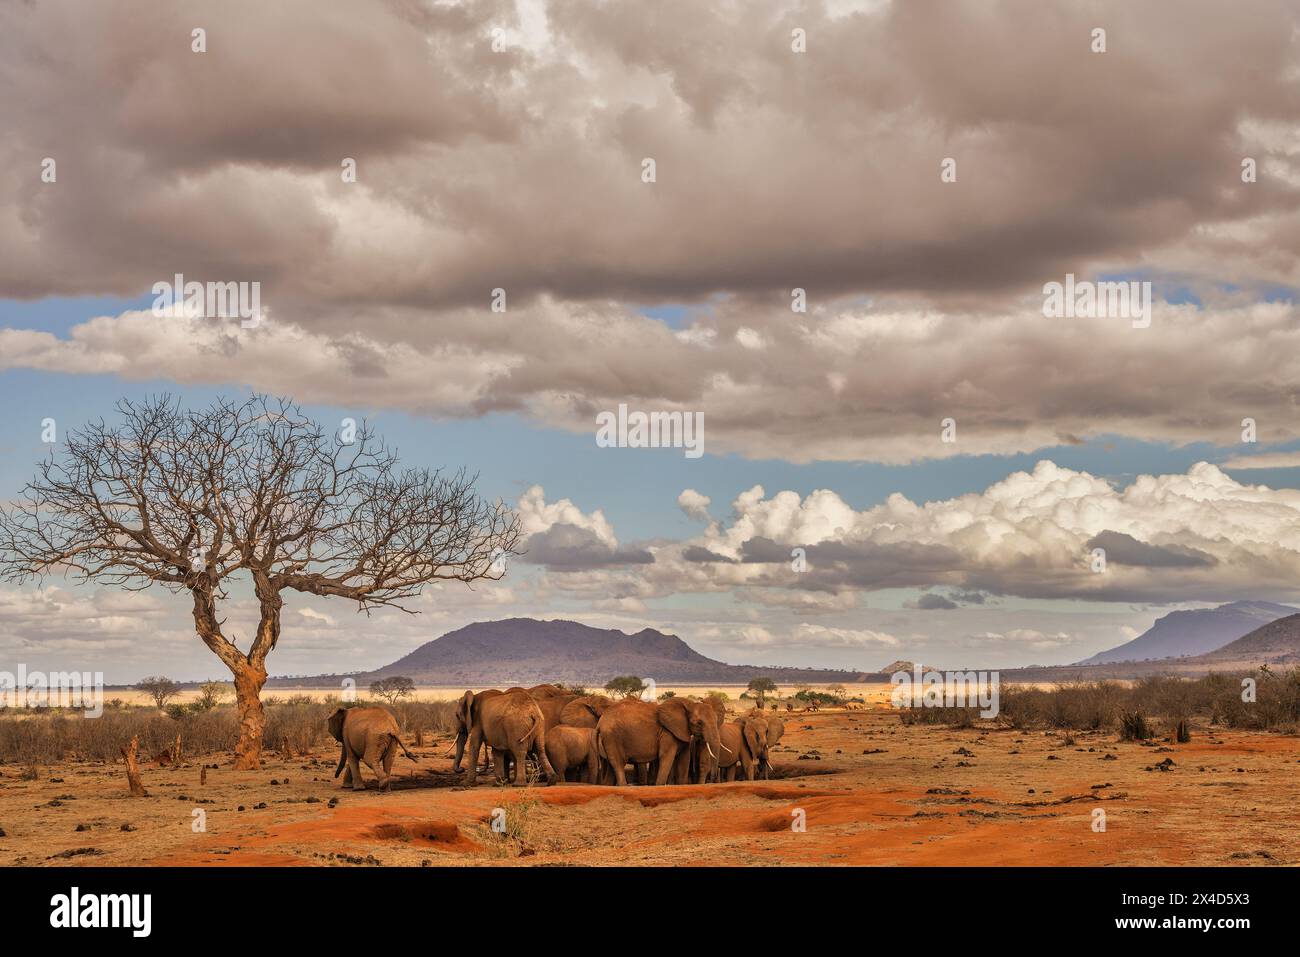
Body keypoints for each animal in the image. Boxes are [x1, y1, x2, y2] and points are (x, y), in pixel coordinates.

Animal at [595, 696, 728, 785]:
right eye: (699, 723)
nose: (712, 779)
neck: (690, 704)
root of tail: (600, 723)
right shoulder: (667, 732)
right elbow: (666, 757)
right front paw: (659, 785)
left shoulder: (682, 732)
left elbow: (684, 760)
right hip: (613, 737)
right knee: (618, 763)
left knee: (612, 767)